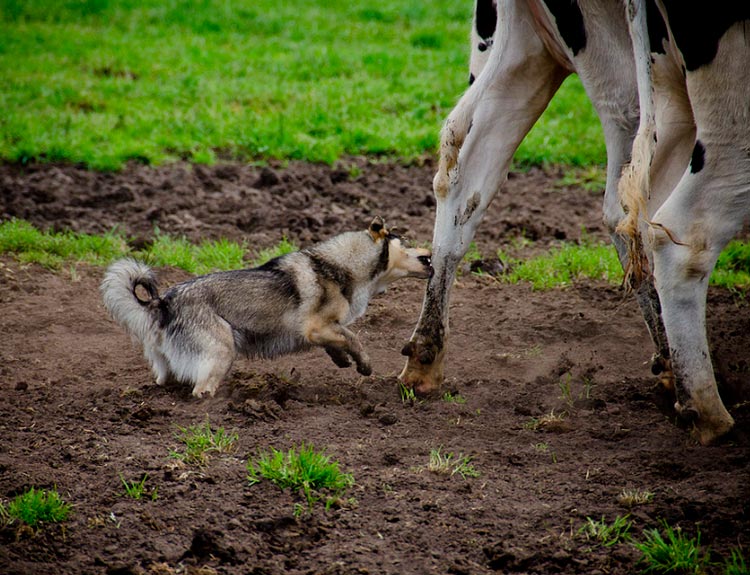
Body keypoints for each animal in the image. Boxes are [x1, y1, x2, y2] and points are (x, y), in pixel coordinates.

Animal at [399, 0, 750, 444]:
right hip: (714, 108)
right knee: (677, 228)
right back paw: (706, 411)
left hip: (543, 61)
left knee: (468, 183)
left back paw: (424, 359)